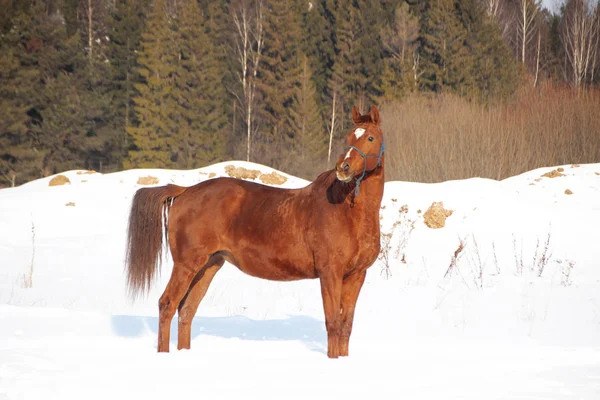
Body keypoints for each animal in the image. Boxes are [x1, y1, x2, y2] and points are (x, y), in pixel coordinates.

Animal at [126, 104, 386, 358]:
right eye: (349, 136)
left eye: (370, 137)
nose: (343, 168)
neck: (346, 212)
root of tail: (185, 191)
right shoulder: (330, 273)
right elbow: (333, 324)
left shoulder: (356, 275)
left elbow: (345, 326)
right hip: (186, 264)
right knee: (168, 305)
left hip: (209, 265)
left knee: (187, 310)